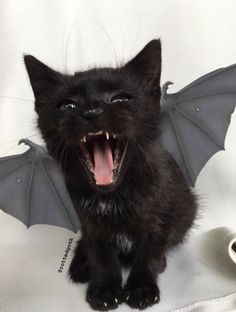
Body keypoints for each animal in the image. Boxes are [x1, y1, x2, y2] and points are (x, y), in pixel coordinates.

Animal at [24, 40, 197, 310]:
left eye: (121, 99)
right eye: (68, 105)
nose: (92, 111)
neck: (113, 196)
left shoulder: (160, 217)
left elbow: (150, 251)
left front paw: (141, 288)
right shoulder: (90, 224)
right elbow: (101, 255)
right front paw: (105, 290)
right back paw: (81, 266)